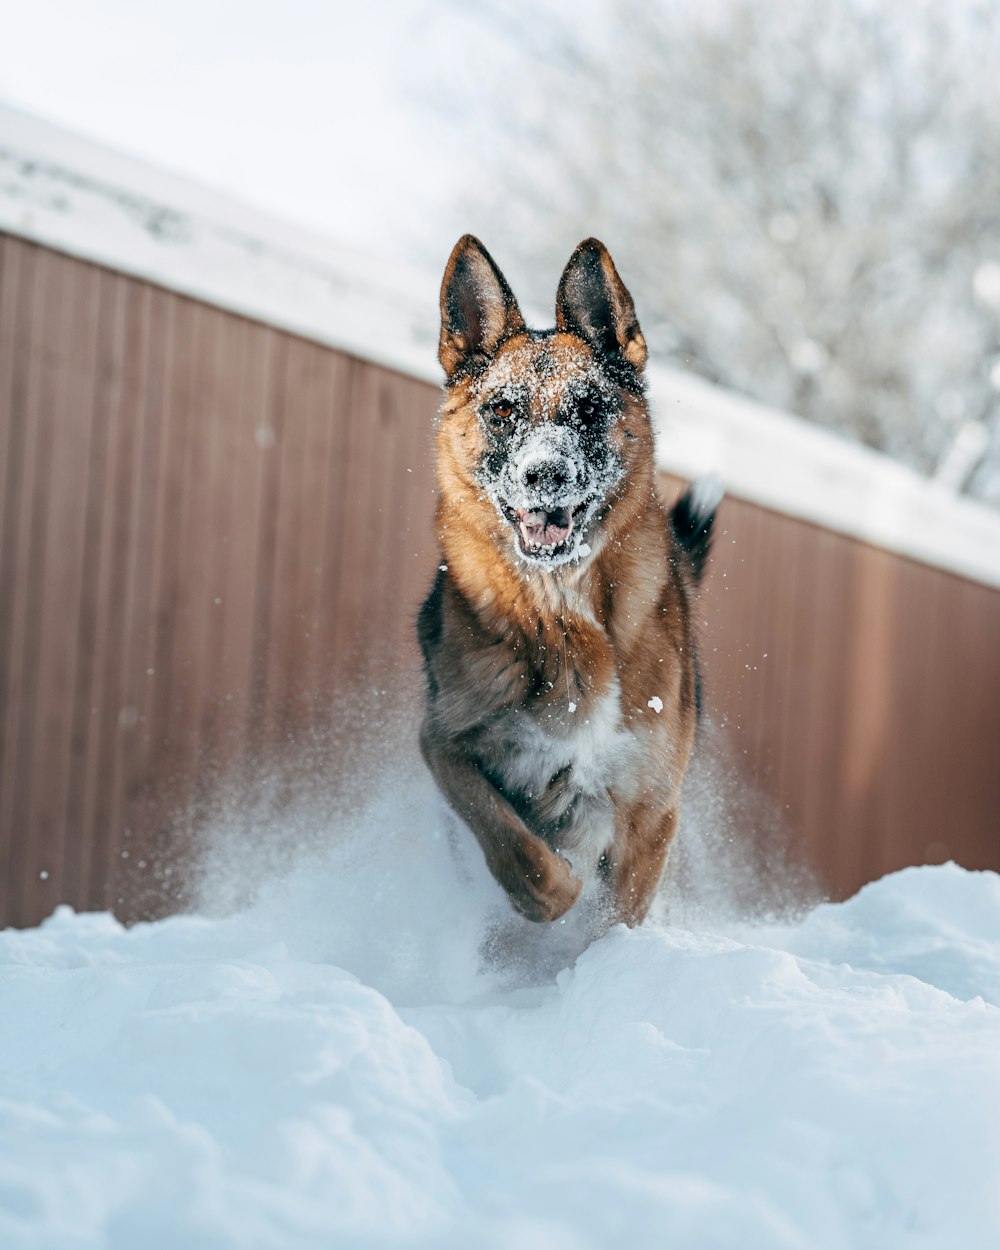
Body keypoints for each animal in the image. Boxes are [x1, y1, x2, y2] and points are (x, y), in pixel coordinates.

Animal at [415, 235, 720, 930]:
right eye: (502, 409)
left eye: (589, 407)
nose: (544, 475)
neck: (561, 611)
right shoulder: (446, 744)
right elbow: (517, 850)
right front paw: (551, 897)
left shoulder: (650, 811)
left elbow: (614, 922)